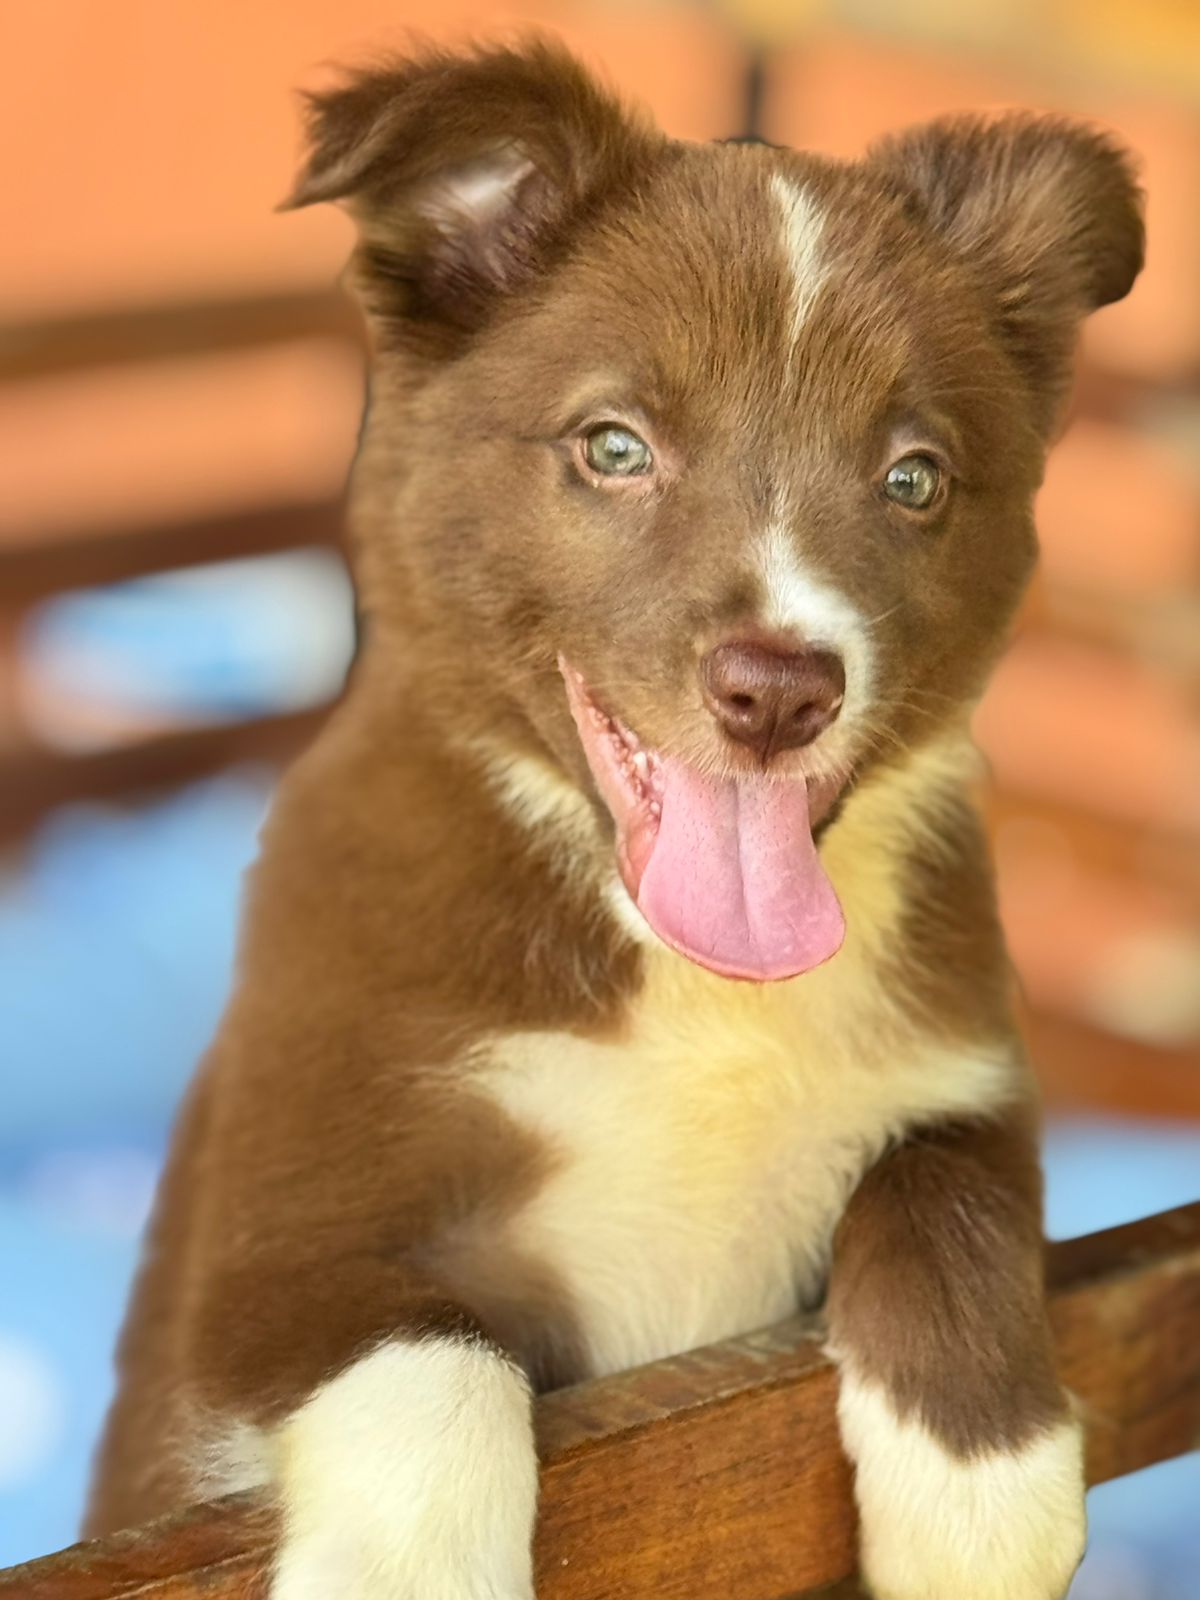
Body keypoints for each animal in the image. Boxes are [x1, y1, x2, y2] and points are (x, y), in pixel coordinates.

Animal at [86, 37, 1145, 1600]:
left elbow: (946, 1183)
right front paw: (412, 1567)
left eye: (914, 478)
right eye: (614, 446)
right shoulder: (276, 1241)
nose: (780, 690)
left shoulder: (970, 1074)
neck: (684, 978)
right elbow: (431, 1350)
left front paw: (982, 1491)